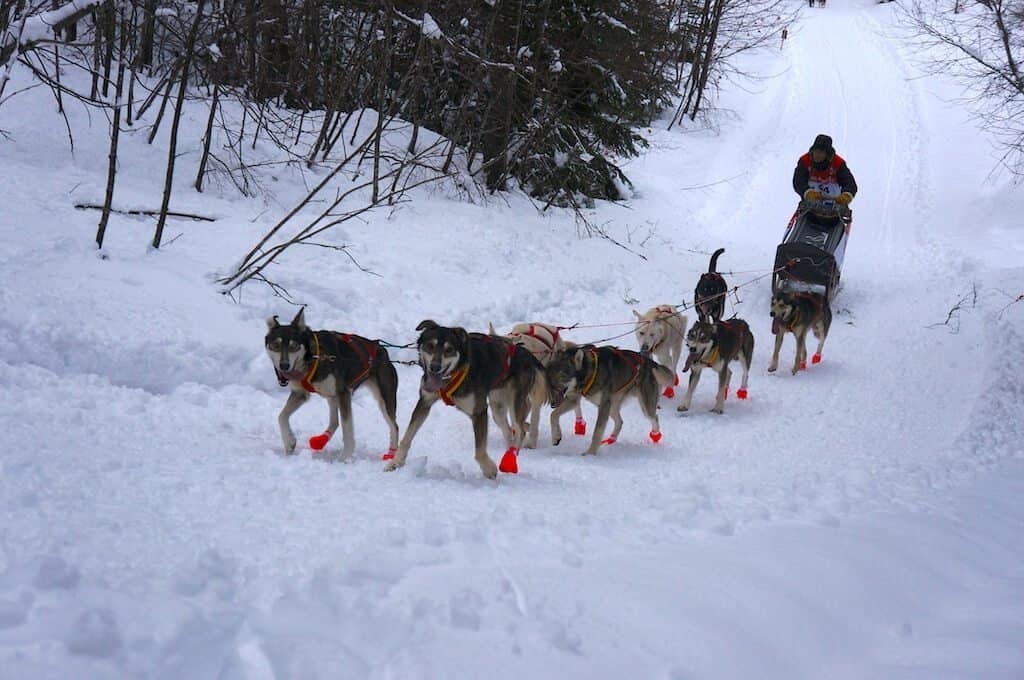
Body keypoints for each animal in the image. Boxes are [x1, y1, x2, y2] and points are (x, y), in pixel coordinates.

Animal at [385, 321, 544, 481]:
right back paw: (507, 454)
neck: (453, 375)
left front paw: (488, 469)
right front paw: (395, 462)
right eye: (430, 346)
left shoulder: (479, 412)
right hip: (497, 408)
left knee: (520, 429)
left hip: (514, 403)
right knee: (508, 431)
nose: (435, 367)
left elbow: (479, 450)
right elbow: (407, 437)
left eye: (449, 350)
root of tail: (527, 354)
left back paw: (511, 459)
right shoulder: (424, 403)